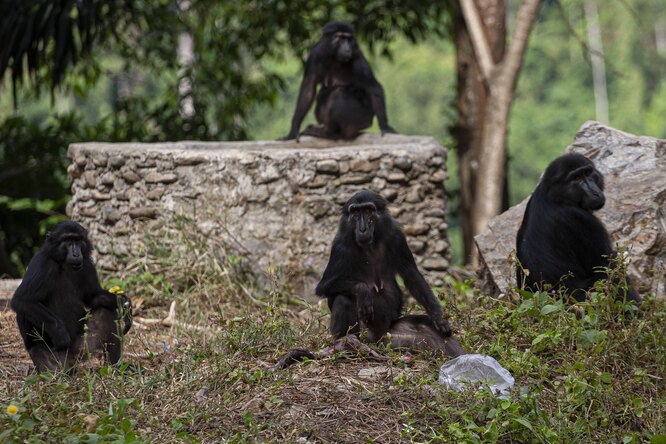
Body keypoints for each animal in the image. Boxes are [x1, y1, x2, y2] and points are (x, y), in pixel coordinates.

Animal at [10, 221, 131, 372]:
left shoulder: (87, 264)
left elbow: (93, 296)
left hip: (83, 347)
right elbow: (23, 300)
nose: (75, 252)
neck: (63, 263)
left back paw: (117, 367)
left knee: (106, 313)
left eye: (77, 240)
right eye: (67, 241)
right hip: (58, 358)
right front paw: (59, 332)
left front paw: (123, 302)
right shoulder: (41, 263)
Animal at [316, 190, 452, 340]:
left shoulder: (397, 238)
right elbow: (325, 285)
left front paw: (439, 318)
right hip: (365, 333)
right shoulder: (340, 247)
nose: (362, 228)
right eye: (356, 213)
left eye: (368, 211)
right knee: (342, 299)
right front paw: (363, 290)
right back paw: (347, 340)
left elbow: (412, 276)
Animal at [512, 153, 640, 302]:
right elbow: (608, 266)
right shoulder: (581, 220)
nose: (594, 192)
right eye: (577, 178)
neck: (554, 196)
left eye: (587, 173)